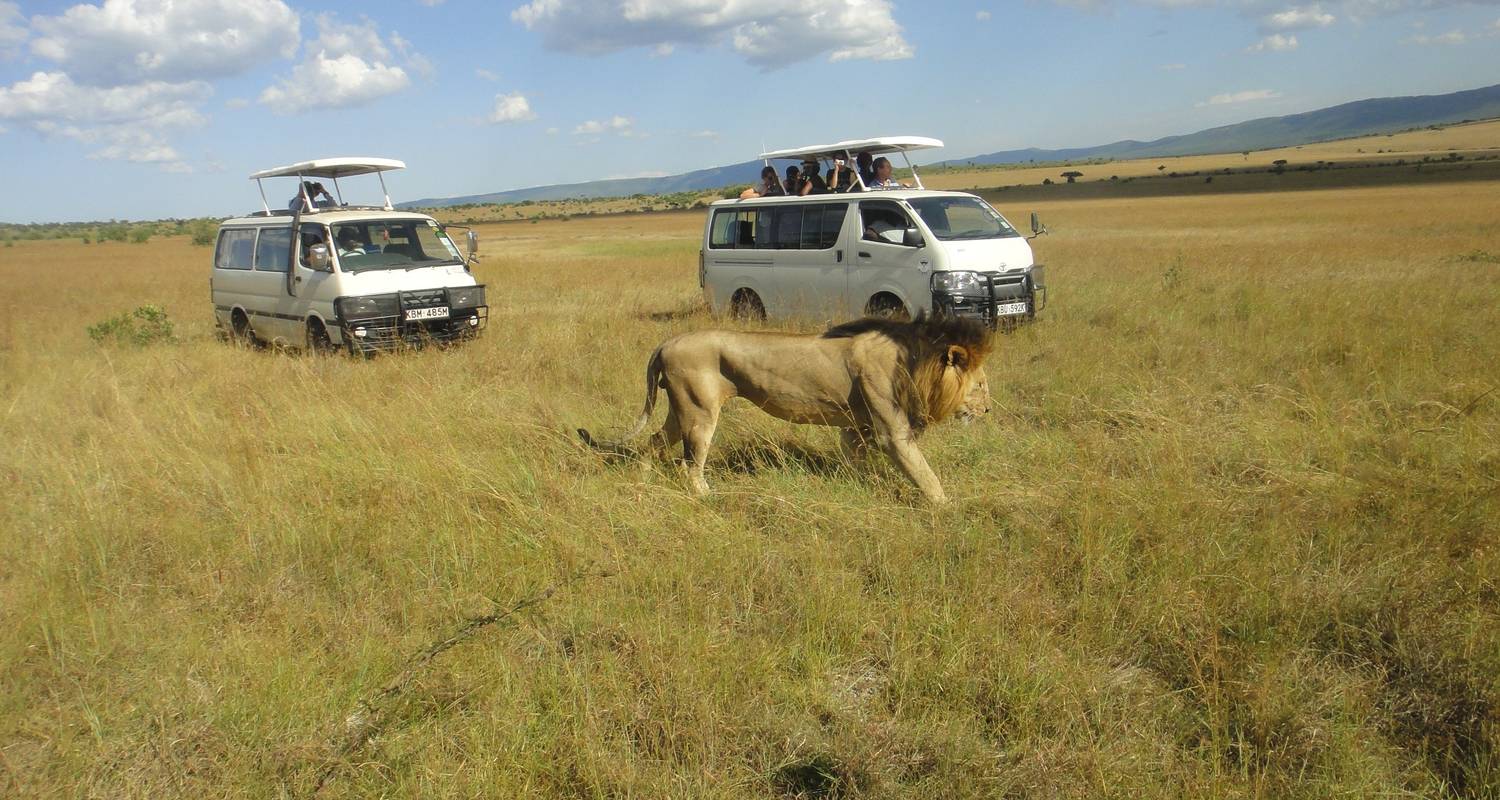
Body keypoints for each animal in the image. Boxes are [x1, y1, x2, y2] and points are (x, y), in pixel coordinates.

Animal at [579, 315, 990, 501]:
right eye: (981, 386)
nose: (987, 412)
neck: (914, 362)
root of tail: (667, 341)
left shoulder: (855, 427)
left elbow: (855, 457)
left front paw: (861, 484)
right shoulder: (892, 430)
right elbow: (924, 472)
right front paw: (947, 507)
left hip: (681, 410)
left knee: (653, 443)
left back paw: (643, 480)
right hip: (699, 413)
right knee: (688, 466)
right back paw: (709, 496)